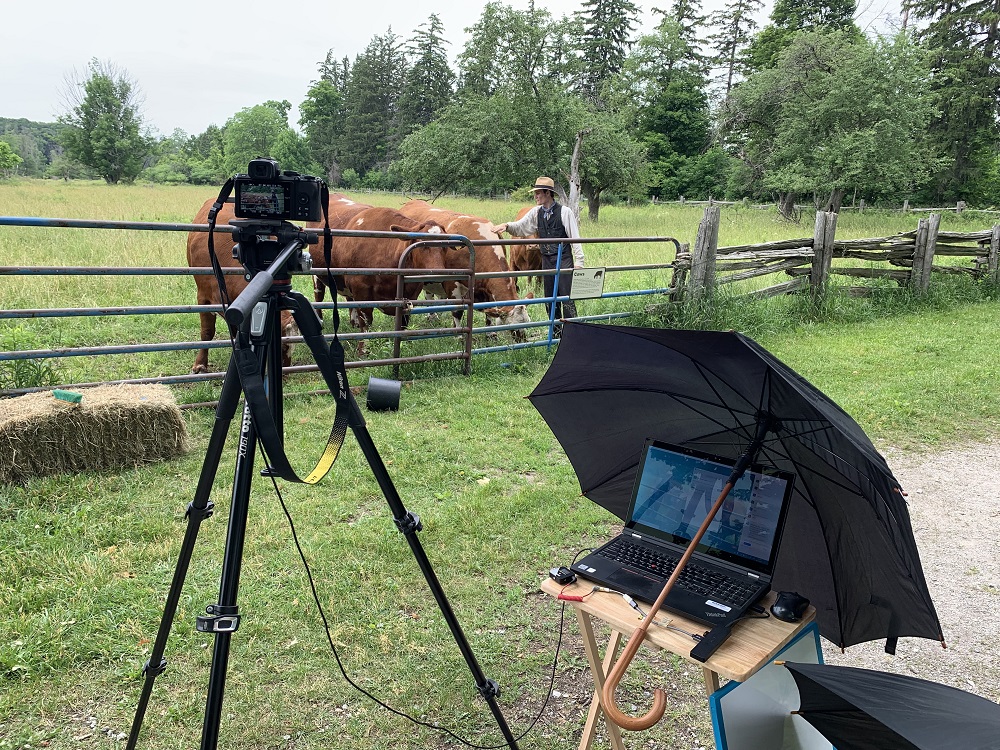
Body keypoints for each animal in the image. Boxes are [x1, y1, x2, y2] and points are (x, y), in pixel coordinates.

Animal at [396, 203, 532, 338]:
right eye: (514, 324)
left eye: (527, 321)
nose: (523, 339)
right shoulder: (452, 284)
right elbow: (457, 311)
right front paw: (459, 335)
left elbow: (488, 311)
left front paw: (491, 334)